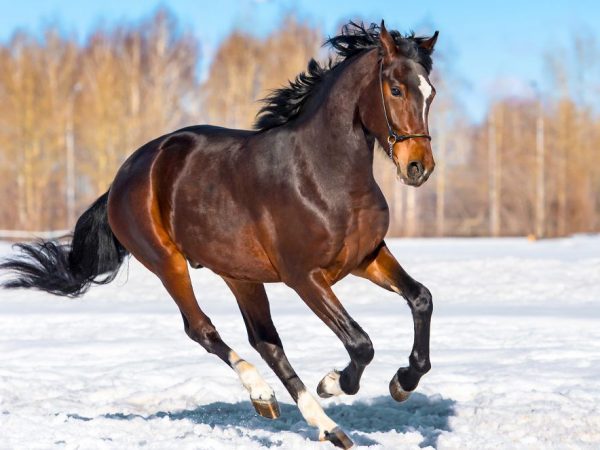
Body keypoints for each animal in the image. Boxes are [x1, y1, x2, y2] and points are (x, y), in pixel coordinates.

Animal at [1, 20, 440, 446]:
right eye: (396, 88)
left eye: (430, 92)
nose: (418, 167)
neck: (322, 173)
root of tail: (124, 176)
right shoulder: (305, 277)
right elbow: (360, 343)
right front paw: (333, 382)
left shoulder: (365, 257)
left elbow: (421, 298)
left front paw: (403, 381)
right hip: (168, 263)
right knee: (202, 329)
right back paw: (266, 395)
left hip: (240, 275)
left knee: (266, 342)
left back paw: (324, 426)